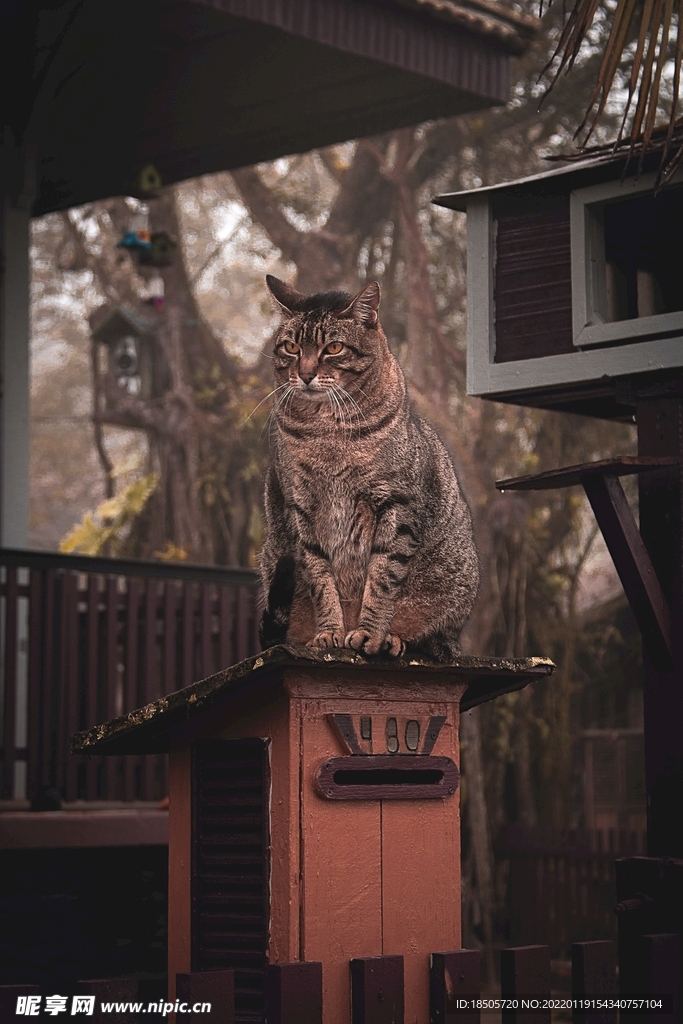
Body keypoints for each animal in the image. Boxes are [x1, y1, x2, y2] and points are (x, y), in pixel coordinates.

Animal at [260, 272, 481, 659]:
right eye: (291, 347)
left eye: (333, 348)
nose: (305, 374)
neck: (327, 431)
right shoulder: (302, 511)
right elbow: (321, 579)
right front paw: (330, 631)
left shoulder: (396, 505)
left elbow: (382, 578)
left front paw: (369, 634)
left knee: (433, 636)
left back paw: (395, 639)